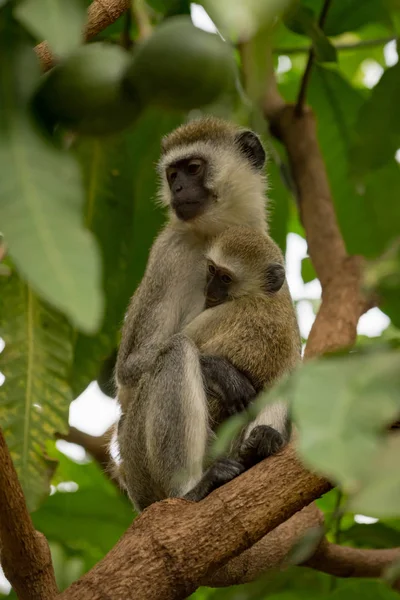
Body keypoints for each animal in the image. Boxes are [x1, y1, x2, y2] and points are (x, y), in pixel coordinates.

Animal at [114, 117, 274, 510]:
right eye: (172, 174)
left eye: (193, 168)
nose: (178, 188)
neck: (216, 234)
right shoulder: (170, 252)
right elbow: (130, 368)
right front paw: (223, 372)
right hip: (140, 464)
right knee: (176, 353)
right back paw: (192, 488)